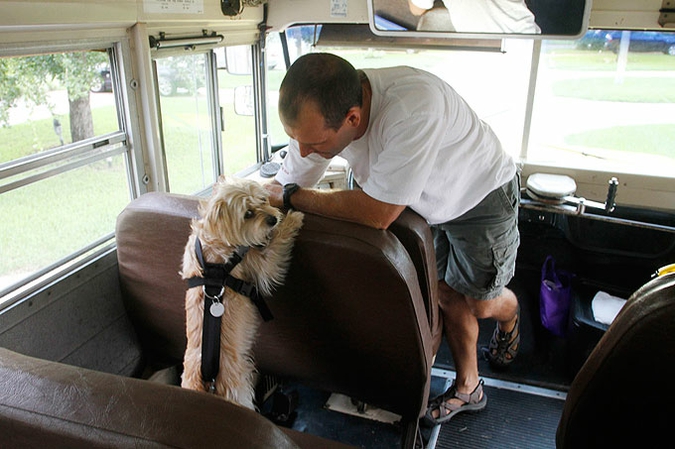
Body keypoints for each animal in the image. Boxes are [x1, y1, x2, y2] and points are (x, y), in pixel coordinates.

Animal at [182, 177, 304, 408]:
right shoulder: (259, 263)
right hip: (240, 390)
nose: (273, 219)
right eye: (248, 214)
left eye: (263, 199)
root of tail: (206, 383)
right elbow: (274, 249)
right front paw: (293, 219)